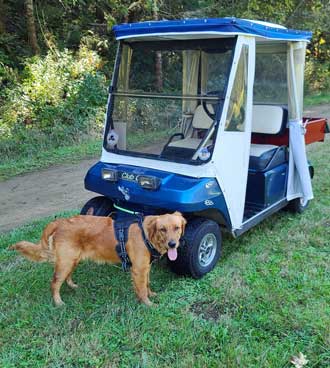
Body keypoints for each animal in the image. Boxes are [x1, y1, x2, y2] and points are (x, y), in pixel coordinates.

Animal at [9, 211, 186, 306]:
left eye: (177, 228)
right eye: (162, 229)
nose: (172, 244)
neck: (147, 234)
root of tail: (60, 222)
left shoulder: (146, 268)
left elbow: (147, 285)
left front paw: (152, 295)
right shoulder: (138, 269)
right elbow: (141, 289)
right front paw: (148, 304)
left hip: (72, 260)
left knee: (67, 277)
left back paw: (73, 286)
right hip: (66, 262)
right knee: (54, 284)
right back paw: (58, 302)